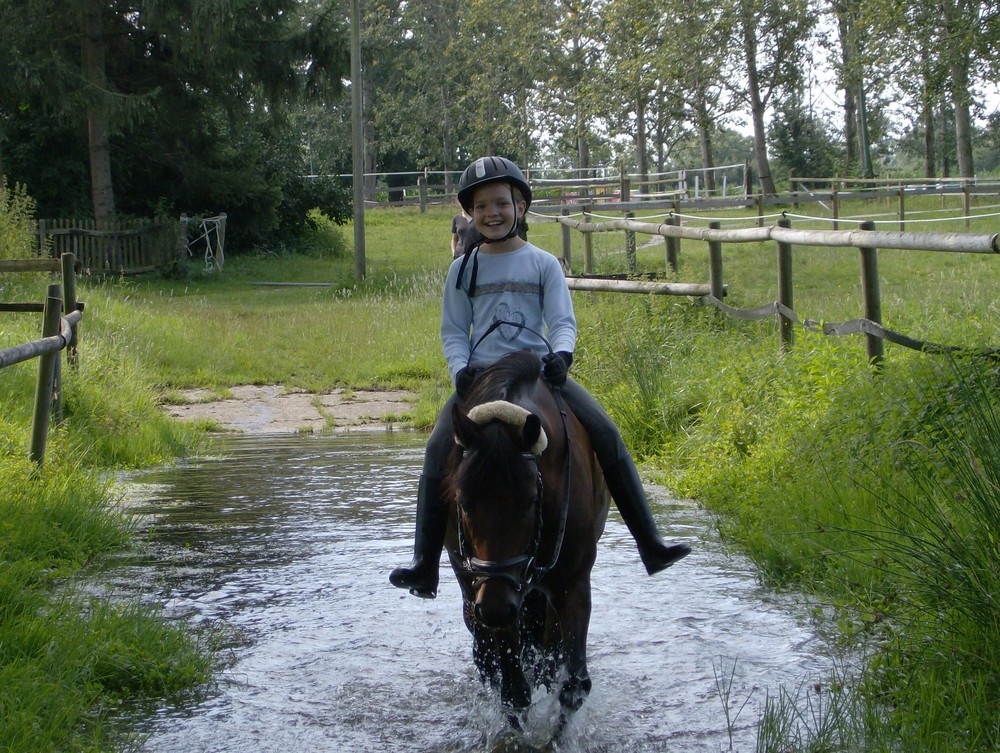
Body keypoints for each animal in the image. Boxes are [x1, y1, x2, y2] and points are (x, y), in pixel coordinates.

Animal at [446, 350, 608, 732]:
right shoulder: (491, 591)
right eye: (462, 501)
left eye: (532, 500)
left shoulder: (572, 585)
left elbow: (573, 686)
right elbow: (513, 692)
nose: (494, 607)